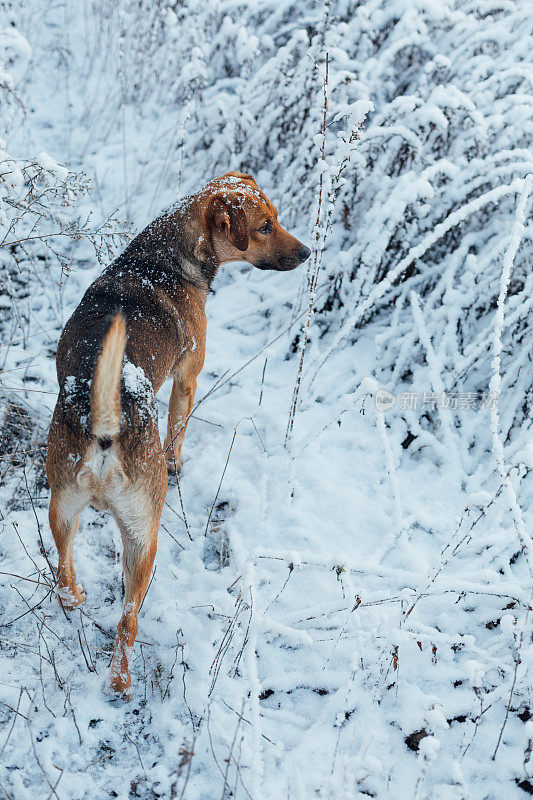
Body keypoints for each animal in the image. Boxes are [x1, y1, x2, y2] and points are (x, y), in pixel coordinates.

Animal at [46, 172, 312, 696]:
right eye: (265, 227)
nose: (308, 252)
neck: (161, 256)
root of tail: (104, 428)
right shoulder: (187, 379)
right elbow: (178, 433)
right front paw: (176, 463)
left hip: (61, 510)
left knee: (65, 581)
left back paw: (79, 599)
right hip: (142, 540)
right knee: (127, 620)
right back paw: (120, 683)